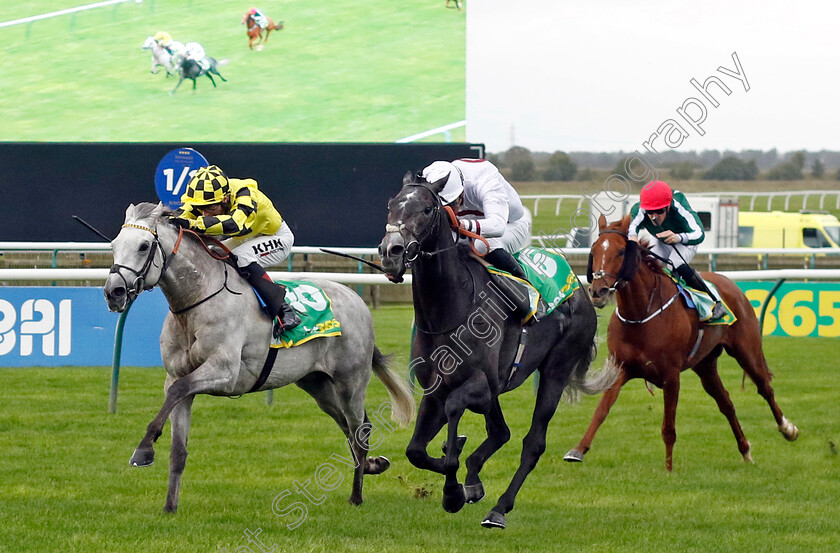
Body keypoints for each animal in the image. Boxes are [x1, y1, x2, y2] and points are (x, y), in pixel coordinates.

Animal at [103, 201, 416, 512]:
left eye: (144, 245)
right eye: (114, 245)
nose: (113, 292)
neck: (197, 300)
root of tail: (357, 300)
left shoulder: (225, 372)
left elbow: (179, 391)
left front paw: (143, 450)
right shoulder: (177, 377)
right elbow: (178, 444)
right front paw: (170, 507)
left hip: (351, 382)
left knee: (360, 429)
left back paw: (356, 495)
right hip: (317, 384)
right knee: (348, 428)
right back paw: (372, 465)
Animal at [564, 215, 800, 470]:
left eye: (620, 251)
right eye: (594, 250)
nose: (598, 291)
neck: (641, 313)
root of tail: (730, 283)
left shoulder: (671, 375)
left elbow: (669, 428)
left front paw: (668, 470)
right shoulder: (621, 367)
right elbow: (601, 411)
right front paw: (577, 450)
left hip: (746, 351)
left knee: (765, 387)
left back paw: (788, 429)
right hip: (705, 365)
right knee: (726, 403)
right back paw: (745, 450)